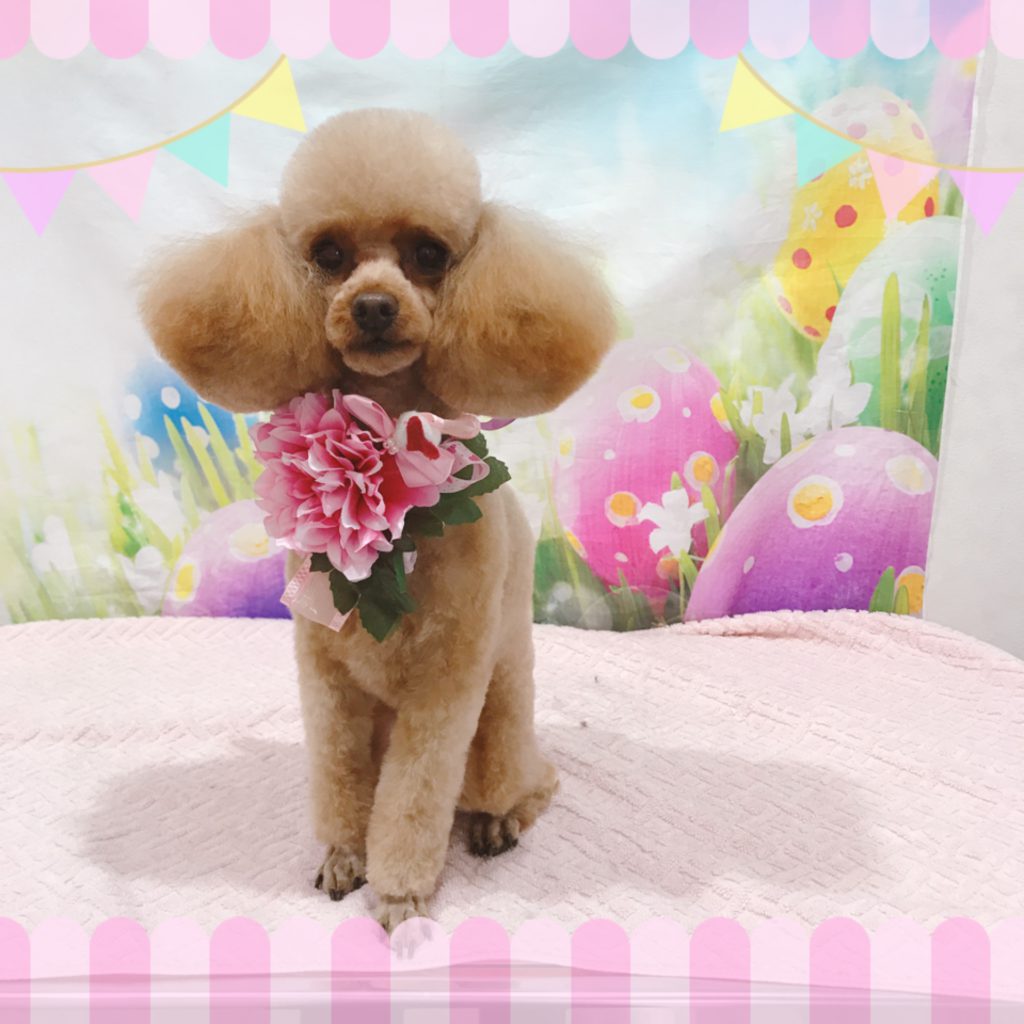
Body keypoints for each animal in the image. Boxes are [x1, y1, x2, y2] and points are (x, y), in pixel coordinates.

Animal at [141, 108, 615, 930]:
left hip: (500, 721)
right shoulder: (326, 674)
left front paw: (398, 893)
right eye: (328, 255)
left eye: (428, 254)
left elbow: (415, 796)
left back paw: (499, 821)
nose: (371, 306)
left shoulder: (446, 682)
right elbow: (340, 777)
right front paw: (343, 856)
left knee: (529, 780)